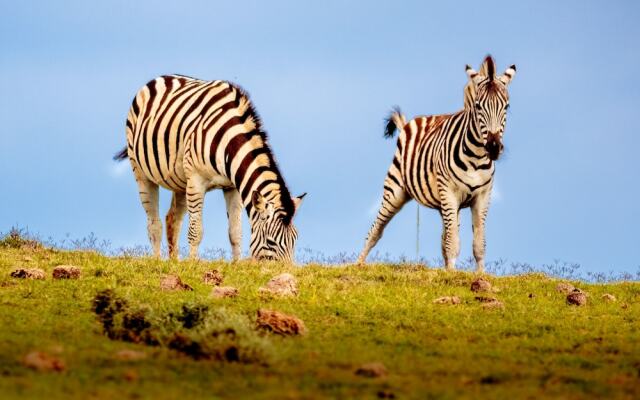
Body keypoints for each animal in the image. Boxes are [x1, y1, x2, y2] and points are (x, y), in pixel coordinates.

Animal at [114, 75, 304, 262]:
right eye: (271, 242)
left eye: (295, 240)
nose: (288, 269)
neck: (229, 142)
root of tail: (159, 78)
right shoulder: (196, 181)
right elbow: (196, 231)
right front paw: (192, 265)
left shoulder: (232, 187)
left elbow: (235, 233)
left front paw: (236, 266)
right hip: (142, 172)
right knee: (154, 224)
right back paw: (157, 262)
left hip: (181, 182)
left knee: (172, 220)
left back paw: (174, 264)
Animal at [358, 56, 516, 270]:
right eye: (478, 106)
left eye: (506, 107)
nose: (493, 147)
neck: (476, 157)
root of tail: (409, 123)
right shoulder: (449, 192)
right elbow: (453, 243)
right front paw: (451, 274)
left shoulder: (482, 196)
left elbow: (478, 244)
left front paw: (479, 275)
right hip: (395, 191)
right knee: (375, 230)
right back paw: (357, 264)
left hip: (445, 205)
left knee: (444, 238)